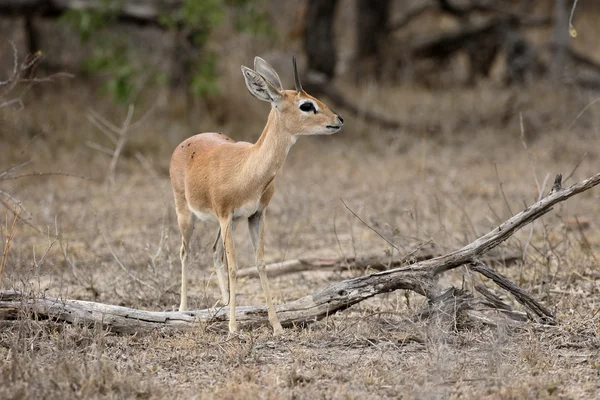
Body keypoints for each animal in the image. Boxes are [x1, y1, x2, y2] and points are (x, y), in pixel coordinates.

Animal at [171, 55, 344, 334]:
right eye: (306, 105)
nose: (339, 119)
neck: (248, 167)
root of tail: (185, 143)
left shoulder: (255, 216)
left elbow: (260, 264)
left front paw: (276, 326)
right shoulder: (226, 215)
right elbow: (234, 267)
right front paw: (233, 329)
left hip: (225, 224)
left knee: (214, 252)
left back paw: (224, 304)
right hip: (187, 215)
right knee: (185, 252)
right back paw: (183, 310)